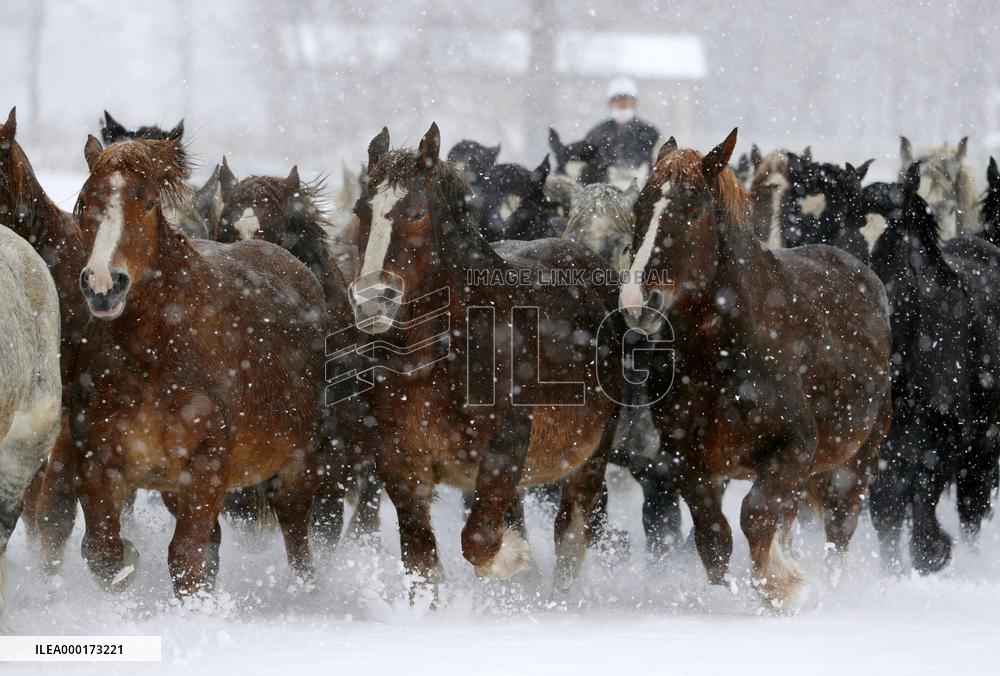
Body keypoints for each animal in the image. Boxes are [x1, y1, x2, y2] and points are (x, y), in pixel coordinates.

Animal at [72, 136, 327, 596]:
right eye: (85, 201)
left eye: (148, 202)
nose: (103, 285)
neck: (153, 353)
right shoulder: (98, 460)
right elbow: (104, 552)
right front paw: (128, 562)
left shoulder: (206, 467)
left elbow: (187, 560)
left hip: (296, 465)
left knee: (296, 528)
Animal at [352, 123, 623, 596]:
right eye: (359, 211)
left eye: (417, 213)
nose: (371, 302)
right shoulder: (400, 461)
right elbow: (421, 560)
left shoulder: (505, 448)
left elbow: (479, 541)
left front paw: (513, 557)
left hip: (592, 455)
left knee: (571, 529)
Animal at [618, 129, 892, 610]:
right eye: (639, 208)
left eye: (693, 211)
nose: (637, 302)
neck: (721, 355)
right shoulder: (689, 460)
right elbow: (714, 536)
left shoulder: (795, 450)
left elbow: (757, 516)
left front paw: (778, 588)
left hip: (858, 458)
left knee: (839, 529)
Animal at [865, 164, 1000, 574]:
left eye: (901, 259)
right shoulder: (888, 445)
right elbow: (887, 509)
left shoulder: (950, 440)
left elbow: (922, 500)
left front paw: (931, 556)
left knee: (970, 505)